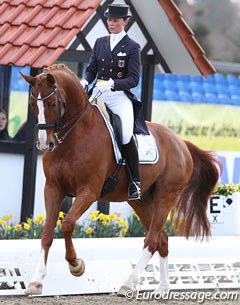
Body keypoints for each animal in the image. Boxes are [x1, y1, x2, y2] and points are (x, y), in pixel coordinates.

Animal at [21, 63, 221, 294]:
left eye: (52, 104)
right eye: (32, 105)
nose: (45, 144)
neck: (75, 135)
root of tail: (181, 143)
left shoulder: (89, 191)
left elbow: (67, 225)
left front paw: (76, 265)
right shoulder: (53, 188)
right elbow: (46, 233)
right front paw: (36, 281)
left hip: (166, 196)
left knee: (152, 240)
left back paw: (128, 284)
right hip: (141, 201)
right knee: (162, 239)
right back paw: (162, 288)